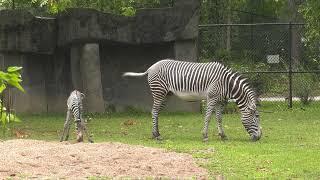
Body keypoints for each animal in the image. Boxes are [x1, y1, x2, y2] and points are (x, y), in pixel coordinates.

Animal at [123, 59, 262, 141]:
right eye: (256, 116)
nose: (259, 137)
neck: (228, 84)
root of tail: (151, 67)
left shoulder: (219, 100)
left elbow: (219, 118)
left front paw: (223, 135)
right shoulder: (211, 98)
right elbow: (208, 117)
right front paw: (205, 136)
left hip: (166, 94)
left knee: (157, 112)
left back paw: (157, 133)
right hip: (159, 91)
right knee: (154, 111)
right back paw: (156, 135)